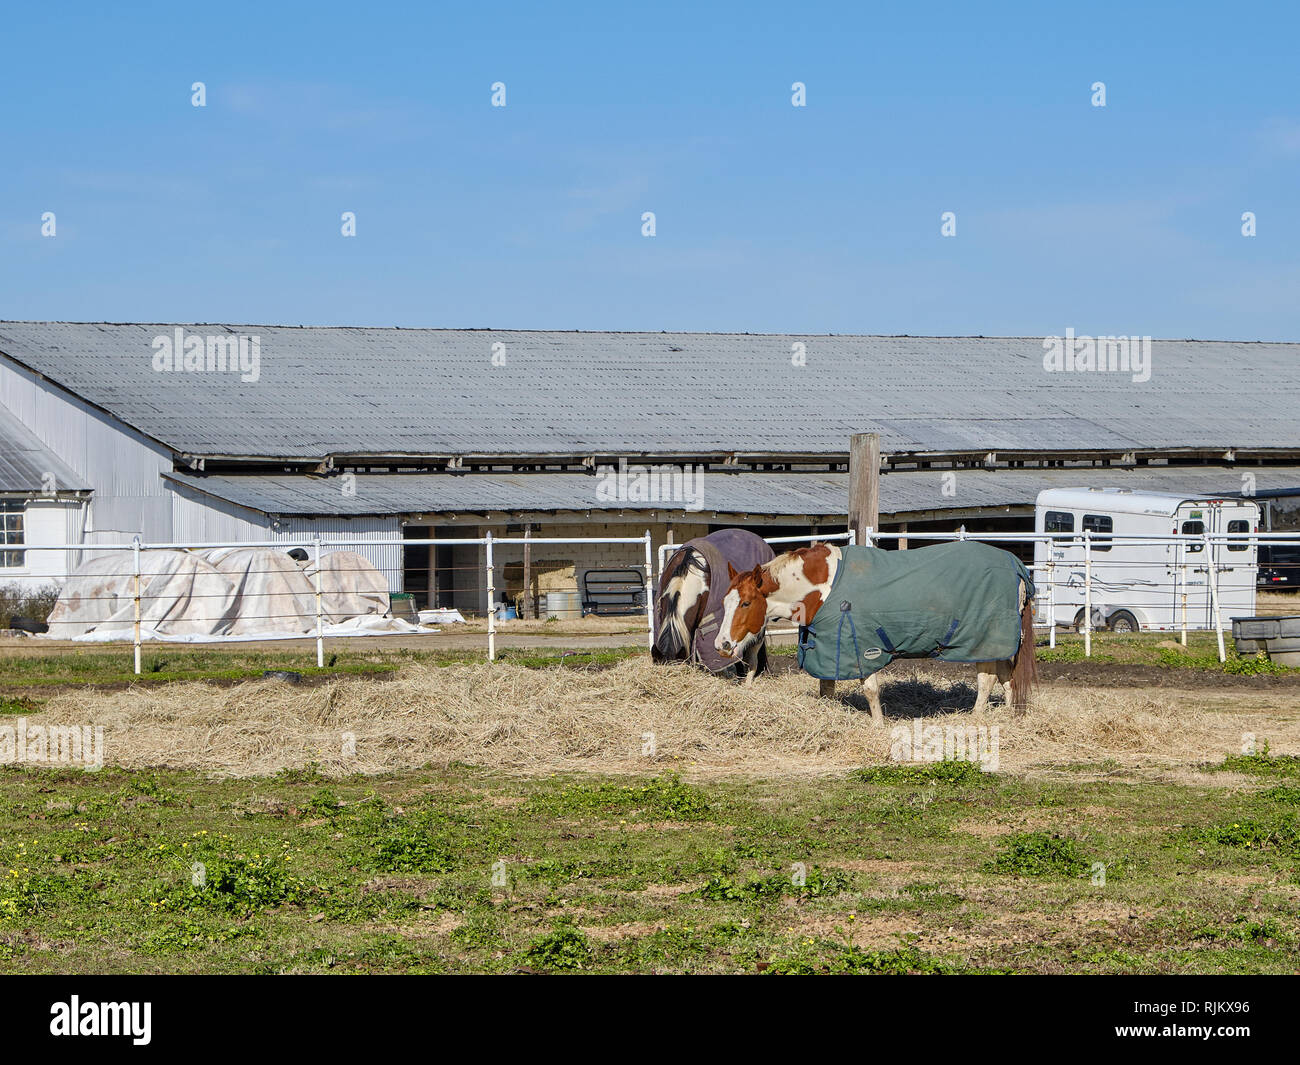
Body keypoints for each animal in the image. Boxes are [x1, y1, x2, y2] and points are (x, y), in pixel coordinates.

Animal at [715, 540, 1037, 723]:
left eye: (745, 602)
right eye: (724, 601)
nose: (722, 644)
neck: (824, 587)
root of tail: (1016, 567)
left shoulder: (861, 647)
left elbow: (870, 690)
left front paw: (878, 726)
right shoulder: (830, 648)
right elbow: (826, 689)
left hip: (983, 642)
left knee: (988, 679)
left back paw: (976, 719)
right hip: (998, 645)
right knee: (1008, 679)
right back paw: (1010, 717)